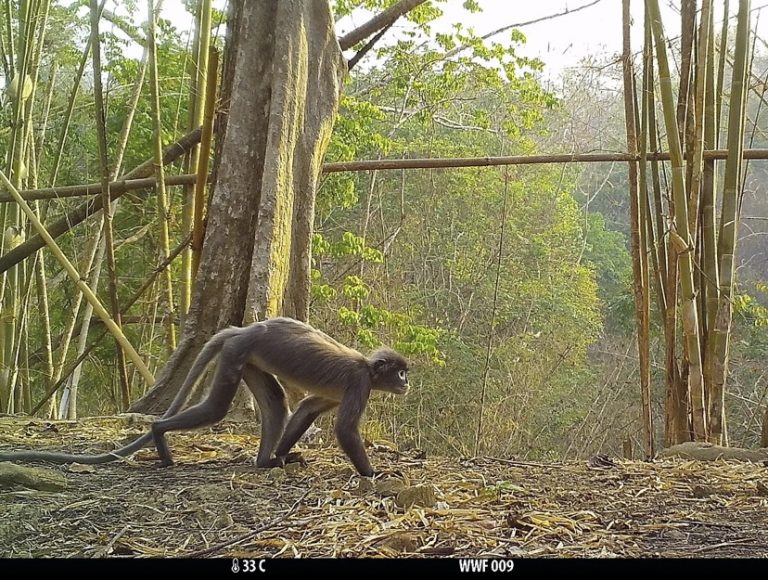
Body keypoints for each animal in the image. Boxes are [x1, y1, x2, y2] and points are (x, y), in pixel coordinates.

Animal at [0, 317, 410, 477]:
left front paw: (283, 455)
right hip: (238, 352)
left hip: (246, 357)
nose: (406, 383)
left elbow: (308, 407)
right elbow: (344, 430)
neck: (368, 368)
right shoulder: (359, 383)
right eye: (401, 372)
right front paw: (375, 473)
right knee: (216, 409)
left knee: (276, 403)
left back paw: (265, 461)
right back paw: (160, 433)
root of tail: (245, 328)